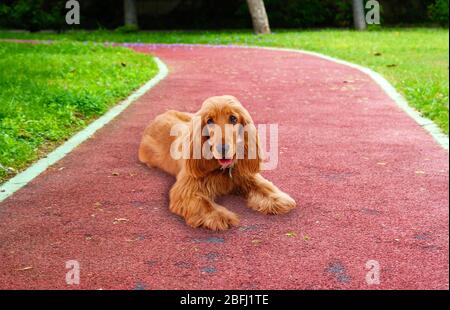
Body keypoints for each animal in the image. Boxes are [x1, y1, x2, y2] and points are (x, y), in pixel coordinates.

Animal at [139, 95, 298, 231]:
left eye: (233, 118)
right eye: (209, 121)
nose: (223, 149)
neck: (223, 169)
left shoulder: (245, 175)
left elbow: (263, 186)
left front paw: (277, 199)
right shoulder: (185, 189)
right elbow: (203, 203)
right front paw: (219, 216)